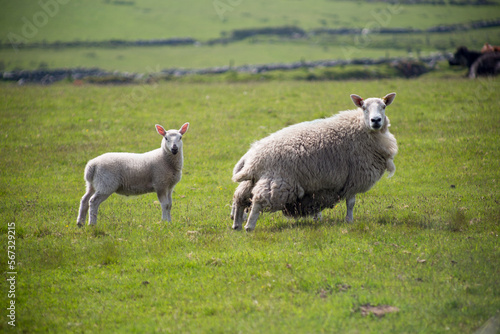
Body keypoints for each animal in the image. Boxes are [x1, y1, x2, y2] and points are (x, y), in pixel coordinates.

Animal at [230, 92, 398, 231]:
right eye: (363, 107)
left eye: (383, 107)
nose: (376, 120)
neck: (361, 128)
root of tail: (253, 156)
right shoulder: (354, 178)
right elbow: (351, 203)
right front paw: (349, 221)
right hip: (279, 181)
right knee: (258, 201)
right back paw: (249, 226)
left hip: (252, 180)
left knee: (240, 198)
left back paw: (237, 225)